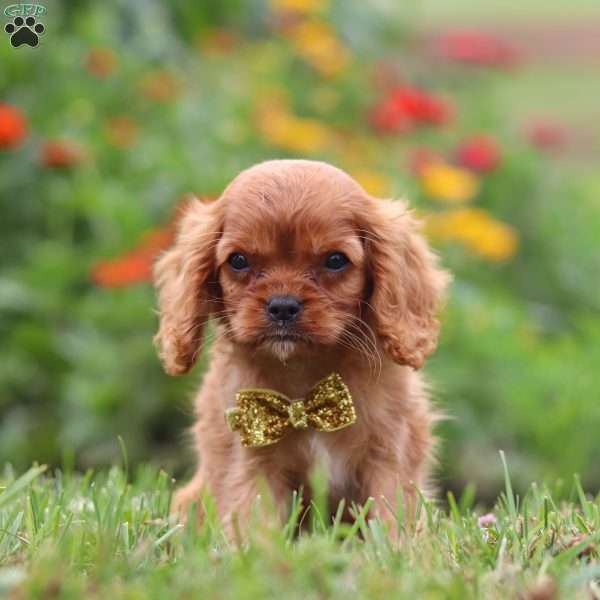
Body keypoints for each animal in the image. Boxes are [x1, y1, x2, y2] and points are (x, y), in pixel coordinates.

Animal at [155, 158, 450, 536]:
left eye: (335, 260)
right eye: (238, 261)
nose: (282, 305)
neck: (303, 376)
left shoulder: (389, 457)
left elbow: (391, 518)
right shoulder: (255, 463)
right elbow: (255, 524)